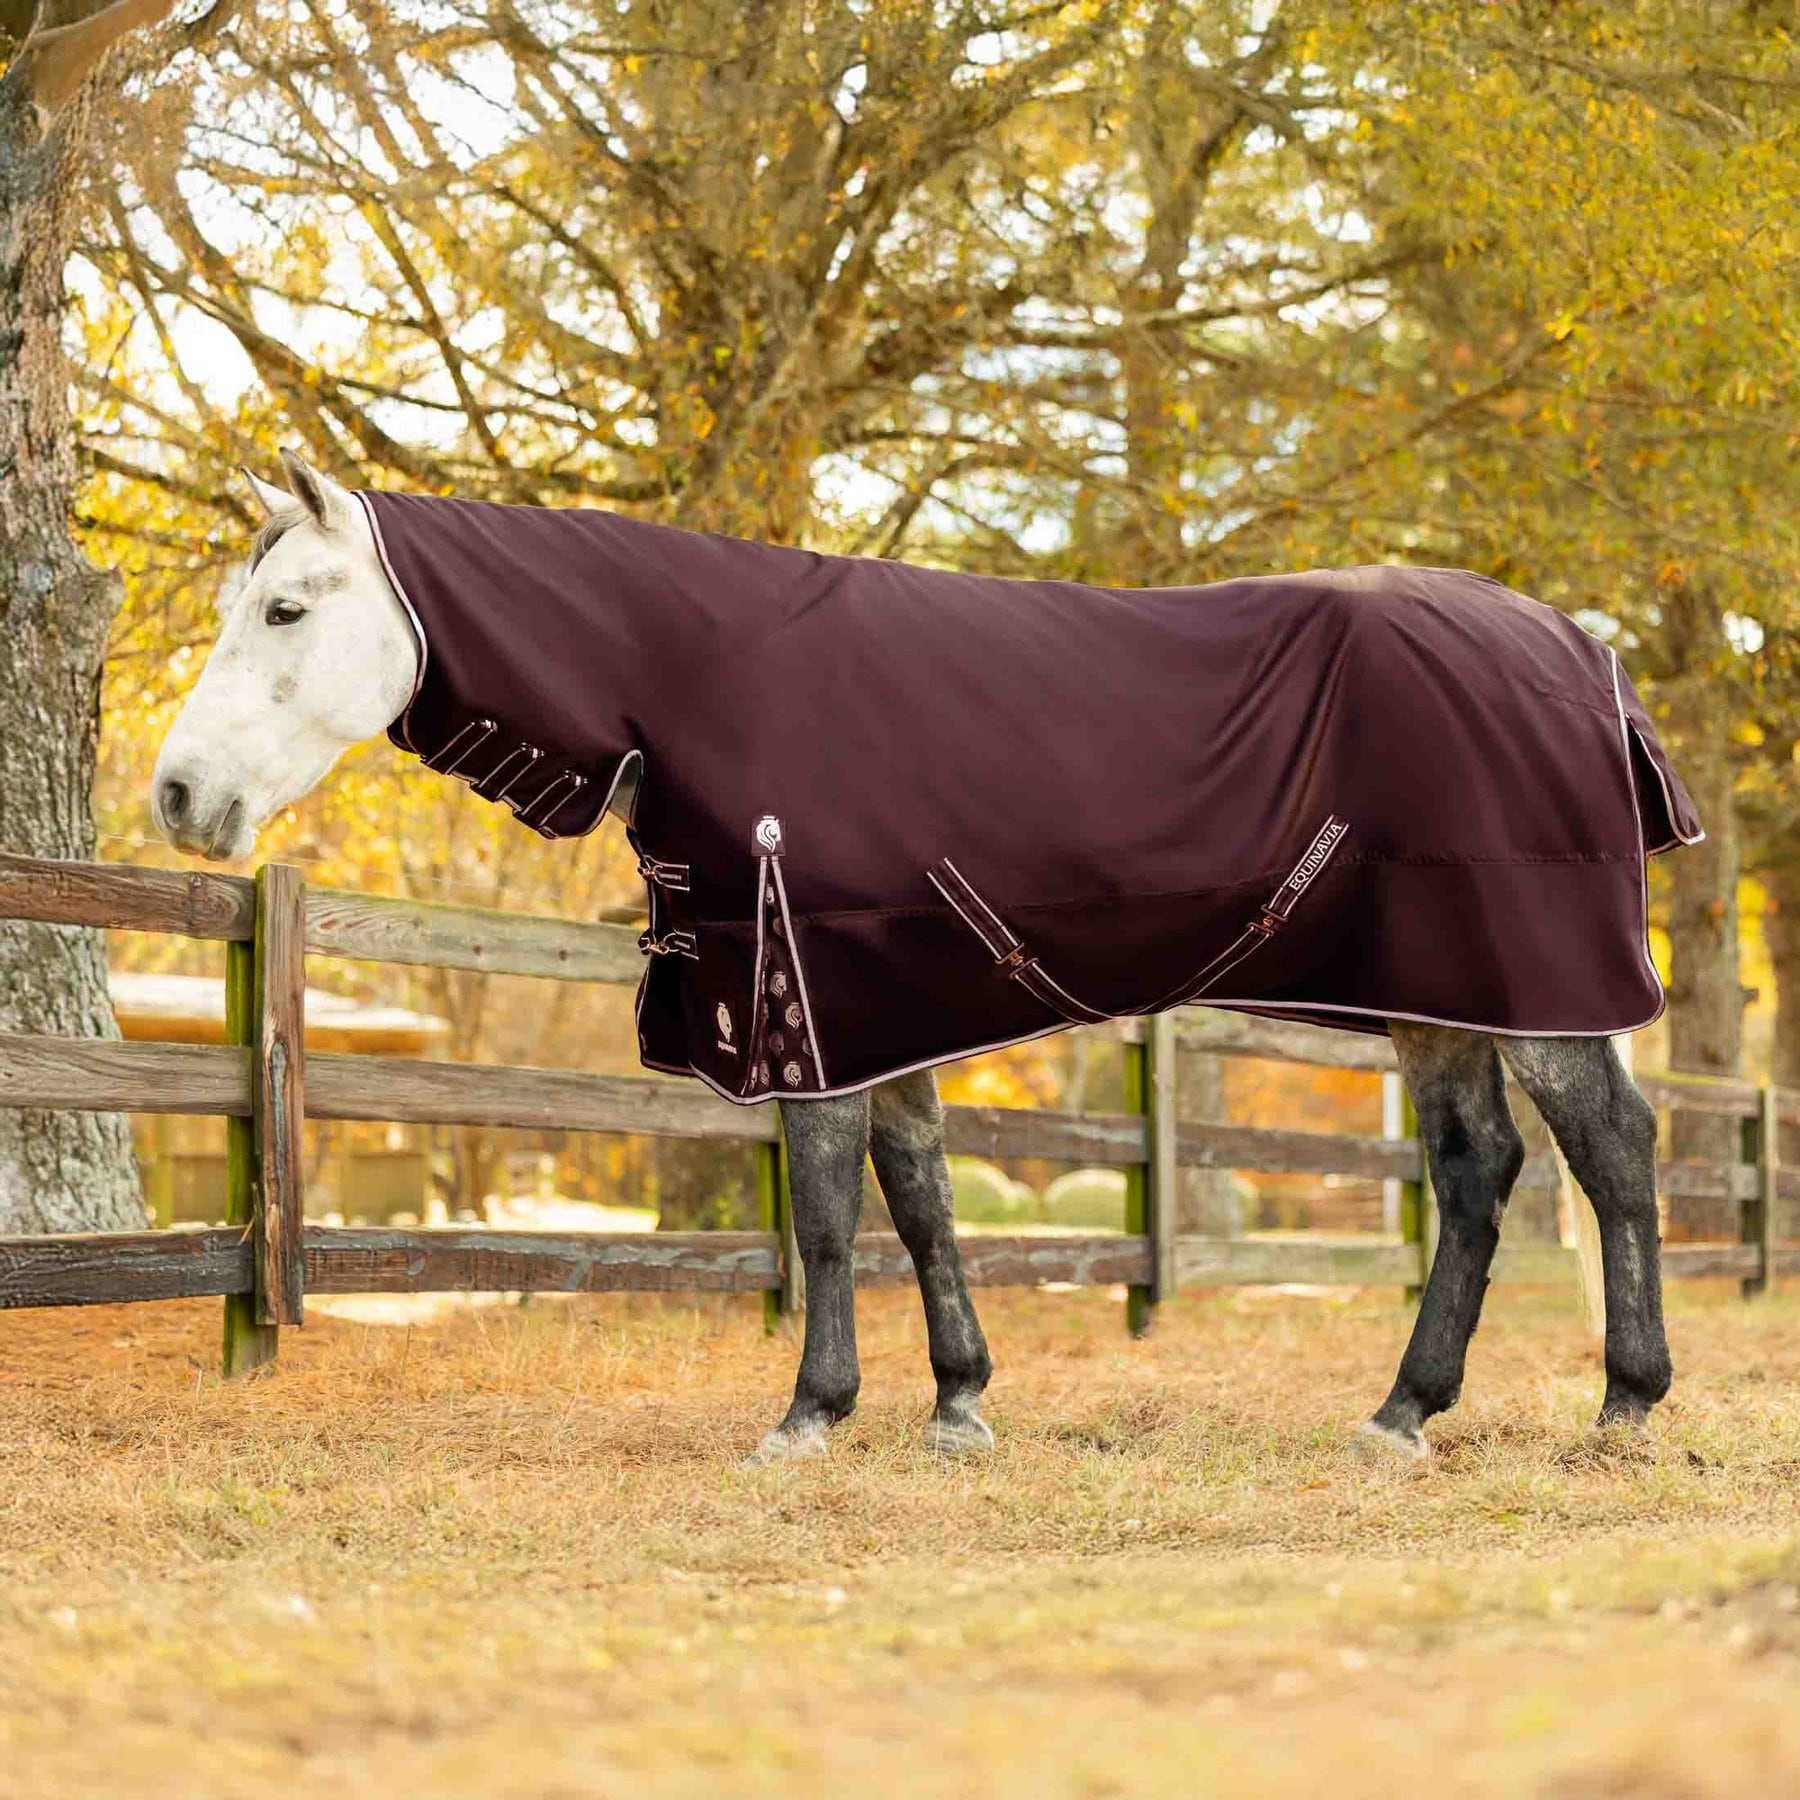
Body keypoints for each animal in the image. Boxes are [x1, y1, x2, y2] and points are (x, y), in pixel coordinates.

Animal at [151, 450, 1692, 1463]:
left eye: (286, 608)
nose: (175, 796)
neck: (698, 679)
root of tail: (1585, 656)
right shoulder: (884, 1009)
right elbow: (927, 1202)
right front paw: (959, 1401)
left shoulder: (812, 1007)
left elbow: (834, 1216)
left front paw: (811, 1412)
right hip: (1443, 999)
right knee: (1478, 1172)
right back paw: (1403, 1410)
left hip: (1540, 989)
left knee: (1614, 1152)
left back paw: (1624, 1400)